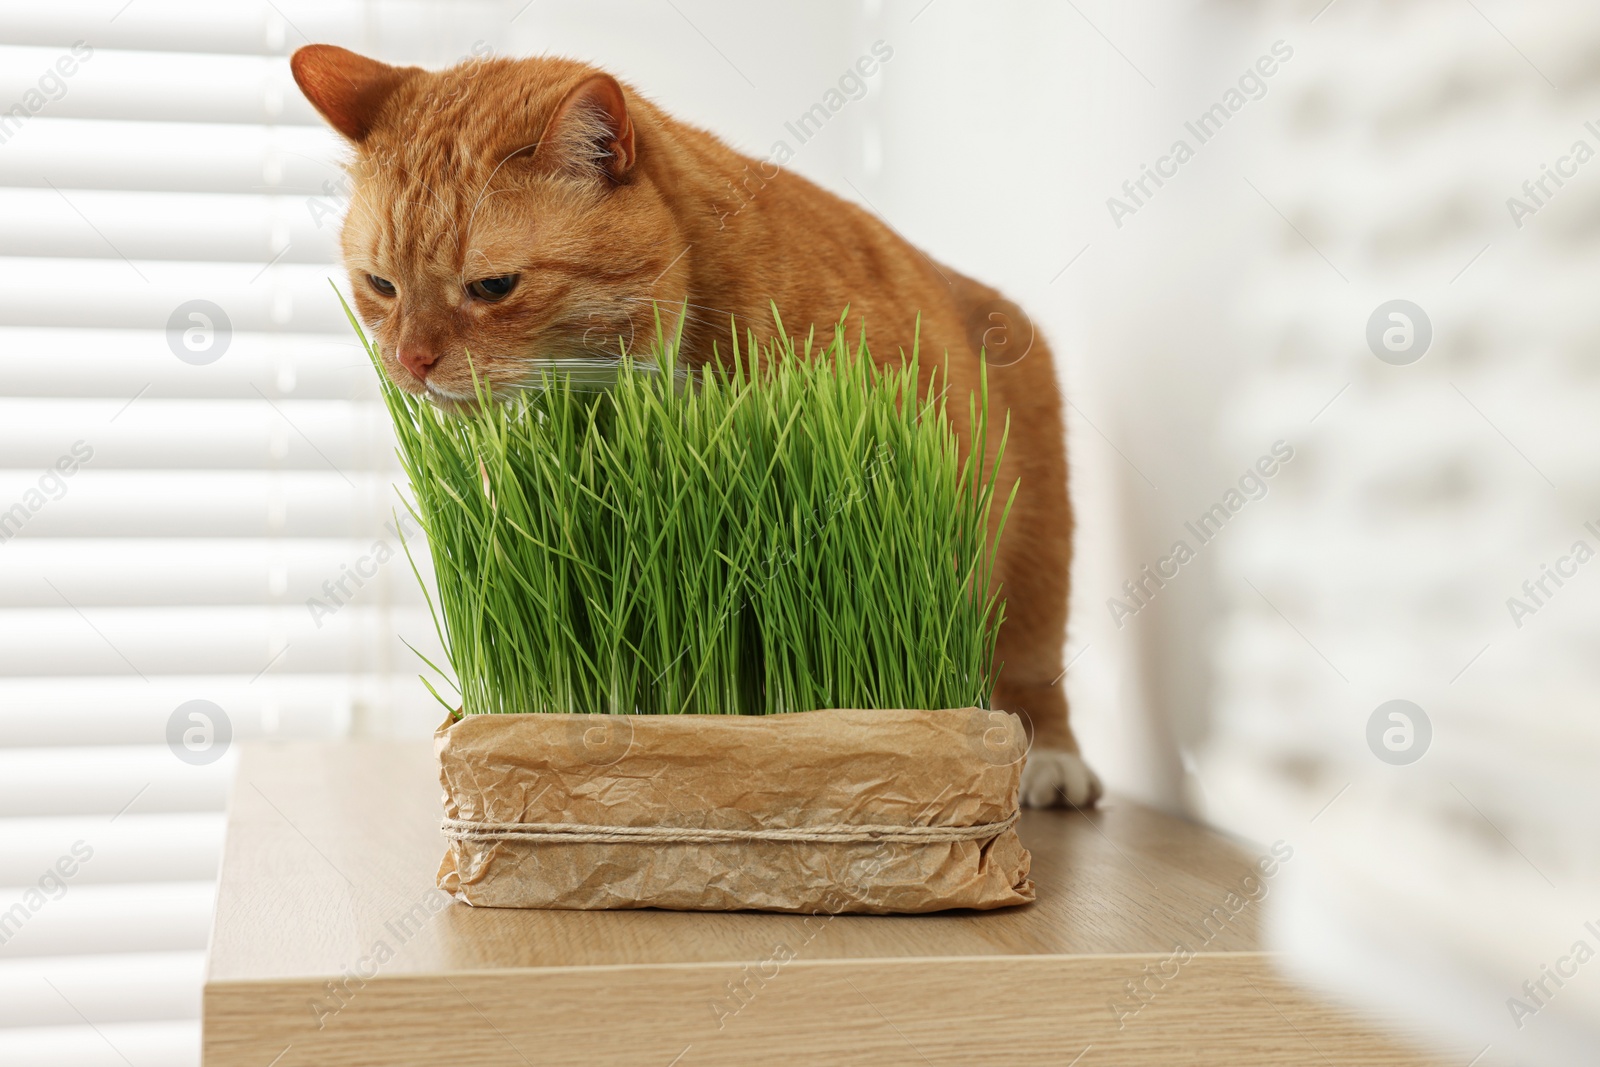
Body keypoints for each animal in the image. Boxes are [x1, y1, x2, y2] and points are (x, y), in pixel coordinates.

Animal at [291, 45, 1100, 806]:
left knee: (1033, 662)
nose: (409, 360)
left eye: (493, 287)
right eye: (381, 285)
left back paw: (1053, 764)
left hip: (1034, 546)